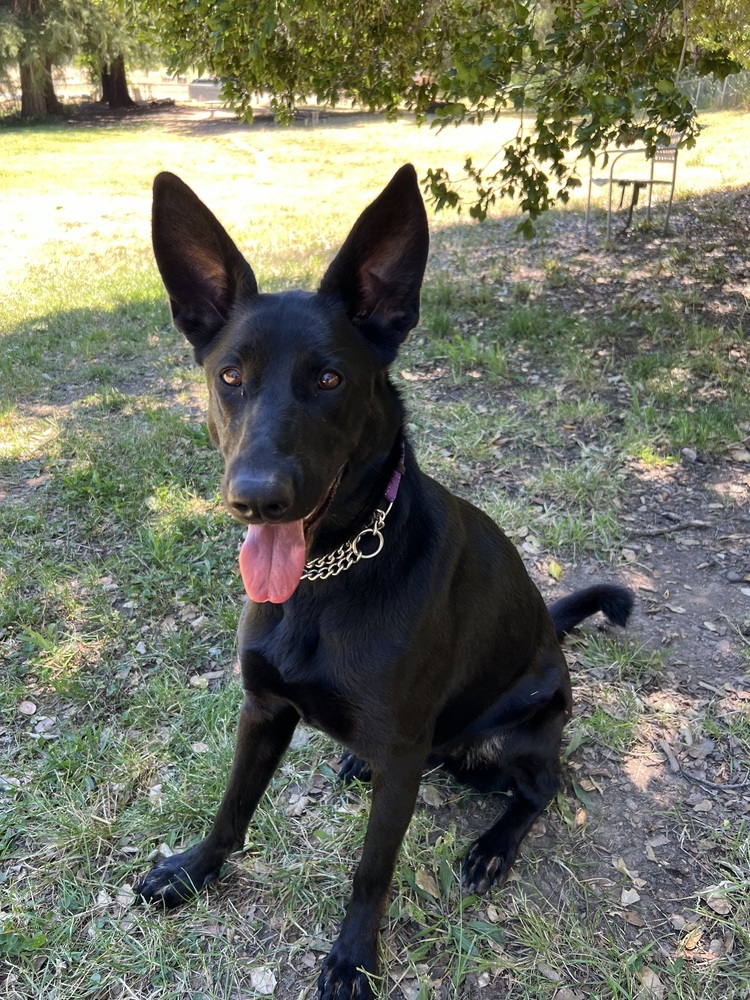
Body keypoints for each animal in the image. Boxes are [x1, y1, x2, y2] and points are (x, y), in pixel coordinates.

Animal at [140, 168, 636, 996]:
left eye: (330, 378)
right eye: (229, 376)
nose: (256, 497)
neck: (326, 576)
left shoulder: (401, 755)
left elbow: (372, 870)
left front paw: (353, 959)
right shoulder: (262, 710)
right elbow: (231, 809)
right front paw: (191, 870)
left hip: (528, 724)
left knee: (539, 788)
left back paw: (493, 844)